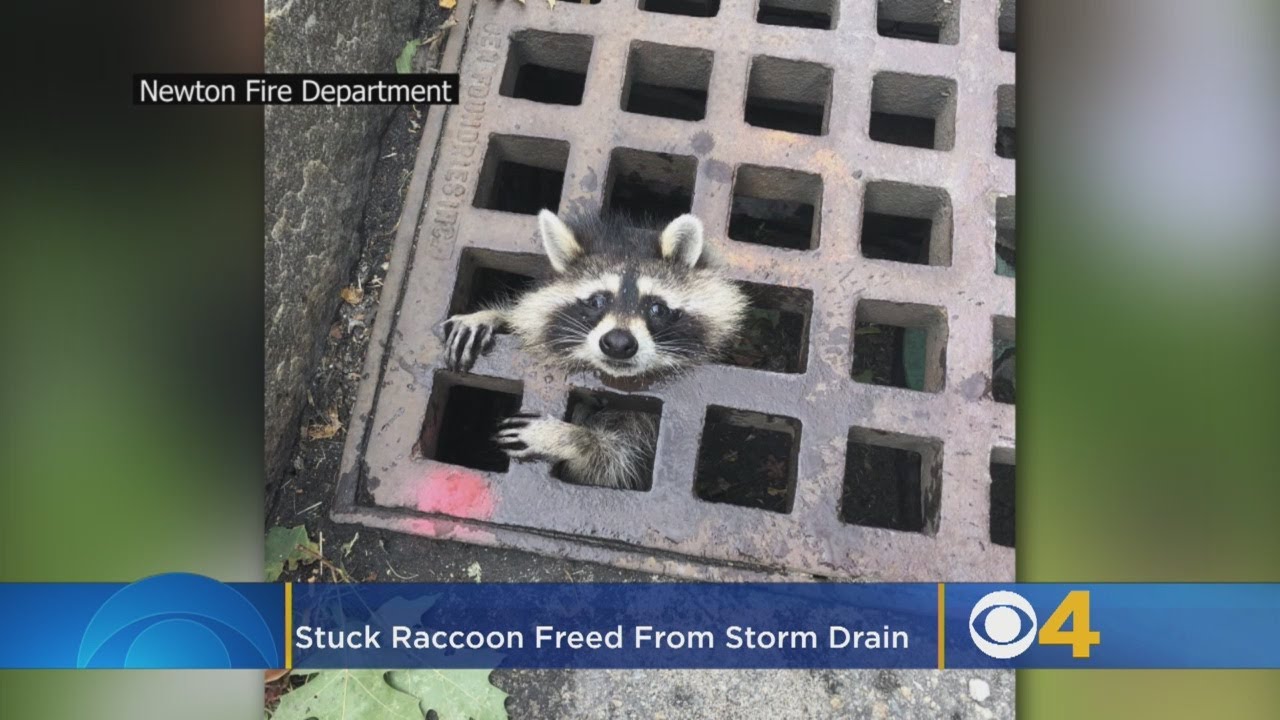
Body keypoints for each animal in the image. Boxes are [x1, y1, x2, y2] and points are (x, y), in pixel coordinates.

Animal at [438, 210, 749, 489]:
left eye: (657, 308)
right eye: (597, 301)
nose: (618, 343)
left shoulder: (644, 432)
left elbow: (613, 462)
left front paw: (570, 438)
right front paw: (492, 316)